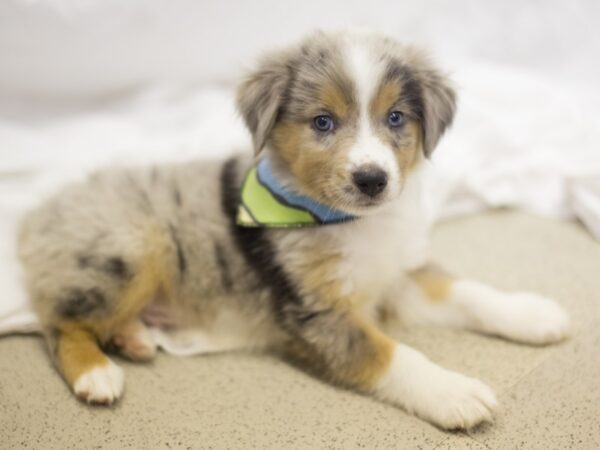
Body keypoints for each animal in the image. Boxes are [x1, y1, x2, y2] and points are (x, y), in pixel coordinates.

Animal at [18, 31, 568, 428]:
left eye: (395, 118)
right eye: (323, 122)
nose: (372, 179)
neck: (354, 224)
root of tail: (41, 211)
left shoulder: (397, 274)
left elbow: (467, 291)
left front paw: (532, 313)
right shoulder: (317, 313)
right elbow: (393, 354)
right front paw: (454, 391)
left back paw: (133, 338)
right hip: (131, 246)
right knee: (57, 323)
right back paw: (96, 373)